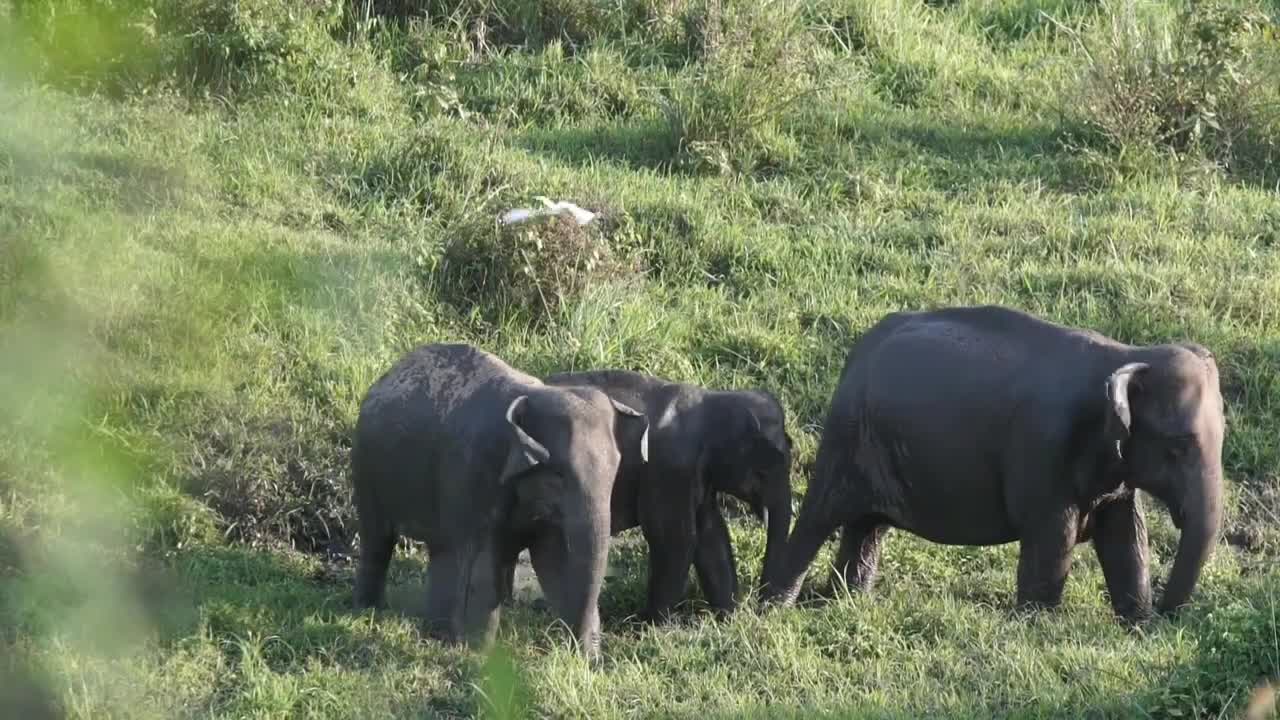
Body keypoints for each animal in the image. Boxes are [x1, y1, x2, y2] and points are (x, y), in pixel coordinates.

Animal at [350, 340, 650, 655]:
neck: (532, 395)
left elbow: (552, 561)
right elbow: (486, 558)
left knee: (441, 548)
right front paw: (480, 652)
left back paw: (437, 634)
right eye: (557, 473)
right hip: (366, 467)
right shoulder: (474, 471)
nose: (586, 650)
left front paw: (585, 658)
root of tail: (387, 374)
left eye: (616, 471)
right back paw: (371, 610)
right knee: (379, 538)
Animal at [540, 366, 788, 620]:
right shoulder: (668, 468)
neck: (711, 400)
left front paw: (727, 616)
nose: (763, 607)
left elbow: (711, 534)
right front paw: (647, 622)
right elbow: (674, 538)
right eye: (762, 472)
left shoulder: (694, 474)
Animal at [762, 304, 1223, 620]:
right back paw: (775, 606)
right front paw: (1039, 626)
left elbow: (1126, 537)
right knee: (820, 516)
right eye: (1177, 447)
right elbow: (1053, 538)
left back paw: (845, 601)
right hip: (846, 436)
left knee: (866, 526)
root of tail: (858, 351)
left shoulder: (1114, 470)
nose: (1165, 610)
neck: (1127, 353)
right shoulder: (1043, 448)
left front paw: (1137, 624)